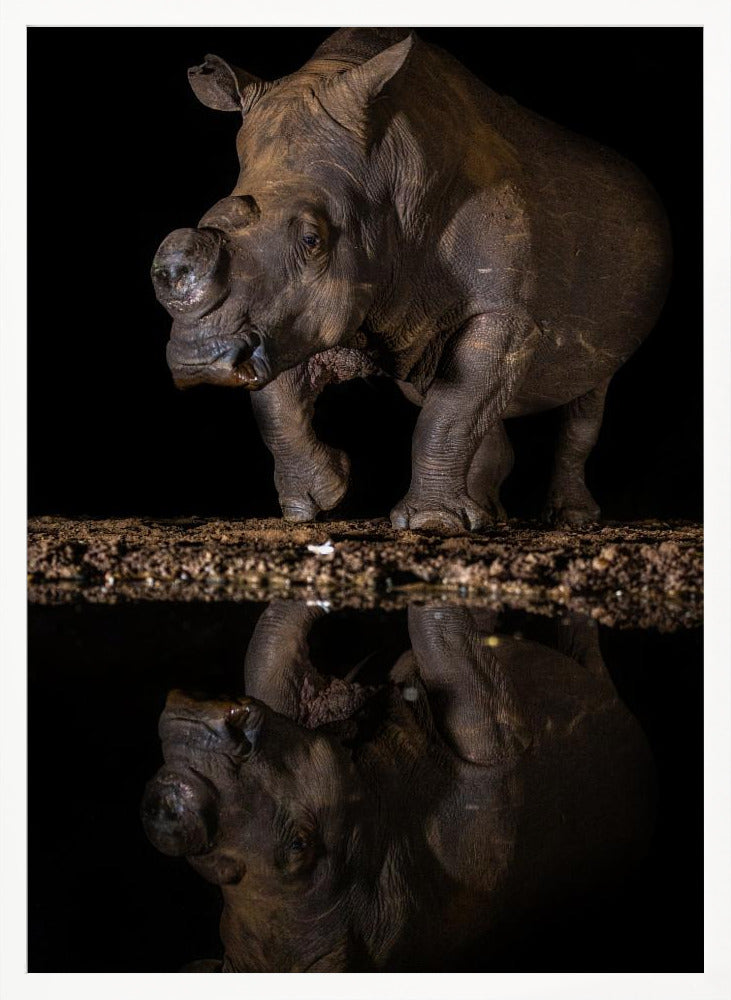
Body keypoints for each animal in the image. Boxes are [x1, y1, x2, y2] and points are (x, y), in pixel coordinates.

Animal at [151, 27, 671, 531]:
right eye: (209, 219)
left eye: (312, 240)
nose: (199, 360)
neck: (382, 170)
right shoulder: (290, 307)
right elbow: (275, 399)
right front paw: (316, 502)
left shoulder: (505, 312)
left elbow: (451, 410)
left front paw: (431, 523)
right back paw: (488, 516)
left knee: (587, 395)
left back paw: (569, 519)